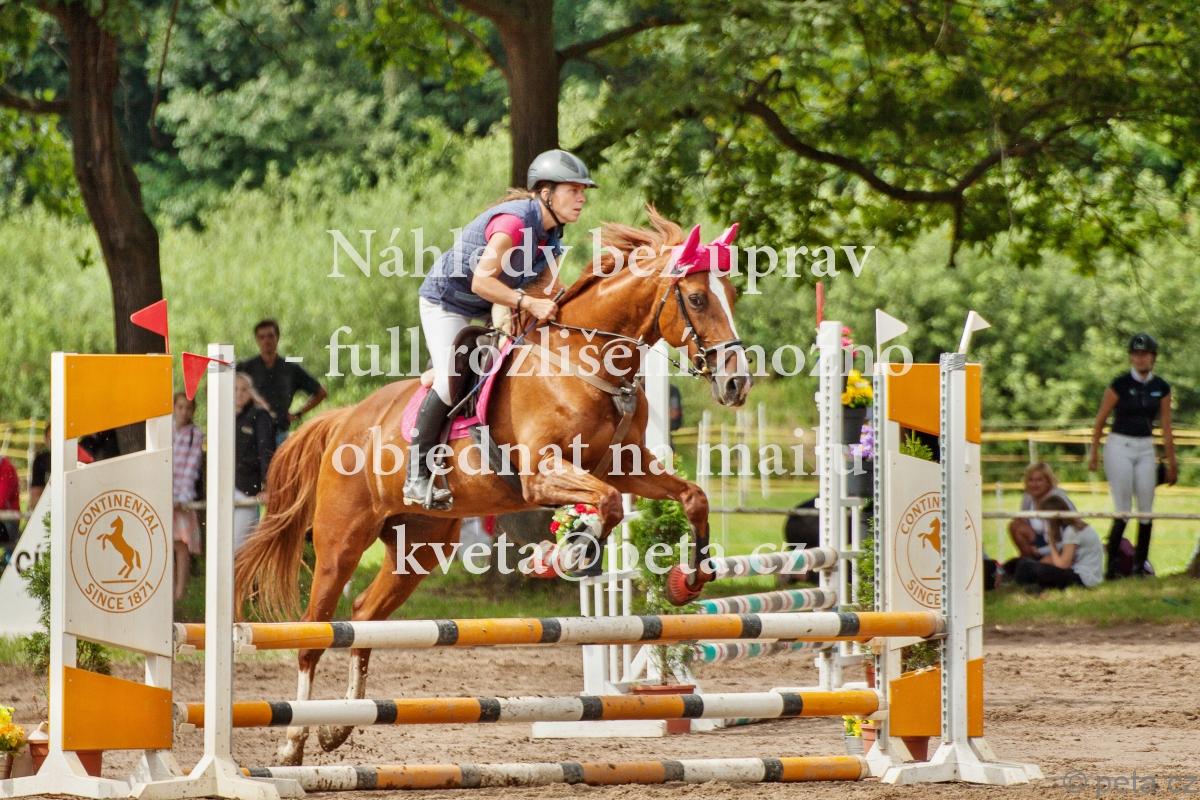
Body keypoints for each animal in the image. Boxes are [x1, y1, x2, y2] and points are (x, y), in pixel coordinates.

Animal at [233, 207, 753, 765]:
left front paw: (689, 580)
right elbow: (609, 504)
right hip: (340, 542)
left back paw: (339, 727)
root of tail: (342, 421)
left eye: (732, 294)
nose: (736, 383)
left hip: (418, 548)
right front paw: (570, 553)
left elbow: (690, 497)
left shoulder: (624, 465)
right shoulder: (542, 474)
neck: (584, 357)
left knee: (363, 617)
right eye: (697, 299)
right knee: (314, 633)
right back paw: (293, 742)